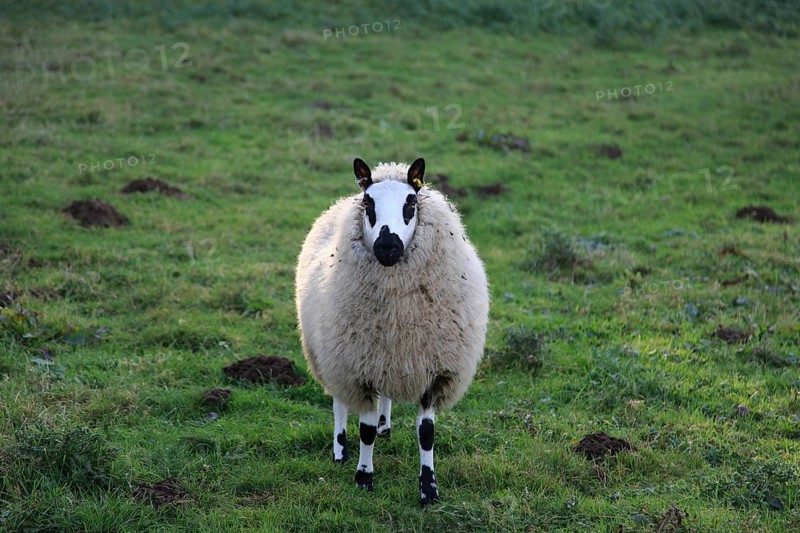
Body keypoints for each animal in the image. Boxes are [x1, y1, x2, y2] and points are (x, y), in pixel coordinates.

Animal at [295, 157, 489, 505]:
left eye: (411, 202)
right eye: (368, 202)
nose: (388, 246)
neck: (400, 316)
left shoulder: (432, 370)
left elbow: (426, 434)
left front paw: (429, 489)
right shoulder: (358, 370)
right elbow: (365, 430)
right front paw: (363, 478)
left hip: (383, 357)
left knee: (382, 402)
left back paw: (386, 425)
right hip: (332, 356)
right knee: (339, 402)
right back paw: (340, 450)